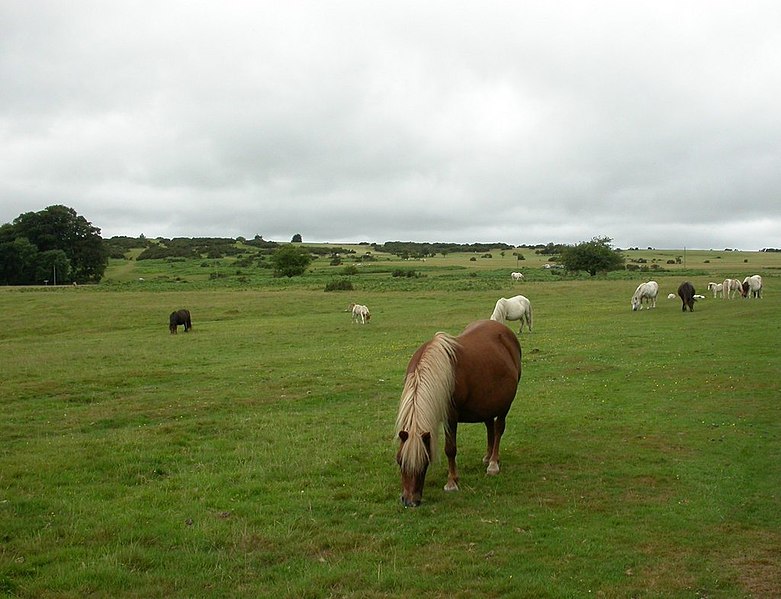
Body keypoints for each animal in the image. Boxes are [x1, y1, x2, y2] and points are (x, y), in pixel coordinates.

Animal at [394, 322, 520, 508]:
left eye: (425, 461)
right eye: (399, 460)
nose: (410, 501)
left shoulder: (450, 418)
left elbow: (450, 449)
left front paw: (452, 482)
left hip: (504, 406)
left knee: (498, 429)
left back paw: (493, 463)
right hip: (487, 404)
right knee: (489, 426)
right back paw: (487, 456)